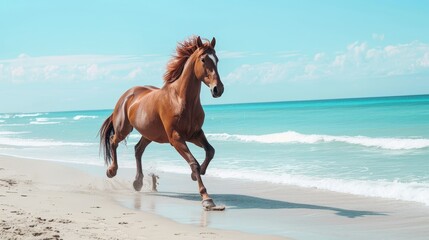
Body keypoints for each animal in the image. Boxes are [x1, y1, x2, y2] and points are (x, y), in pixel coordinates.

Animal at [98, 36, 224, 210]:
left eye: (217, 59)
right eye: (204, 59)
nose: (218, 89)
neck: (181, 100)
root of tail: (127, 94)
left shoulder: (195, 134)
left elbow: (210, 151)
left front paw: (196, 175)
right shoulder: (176, 138)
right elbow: (194, 163)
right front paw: (206, 198)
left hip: (150, 134)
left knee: (138, 149)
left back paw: (137, 182)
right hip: (124, 129)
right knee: (113, 141)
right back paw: (111, 171)